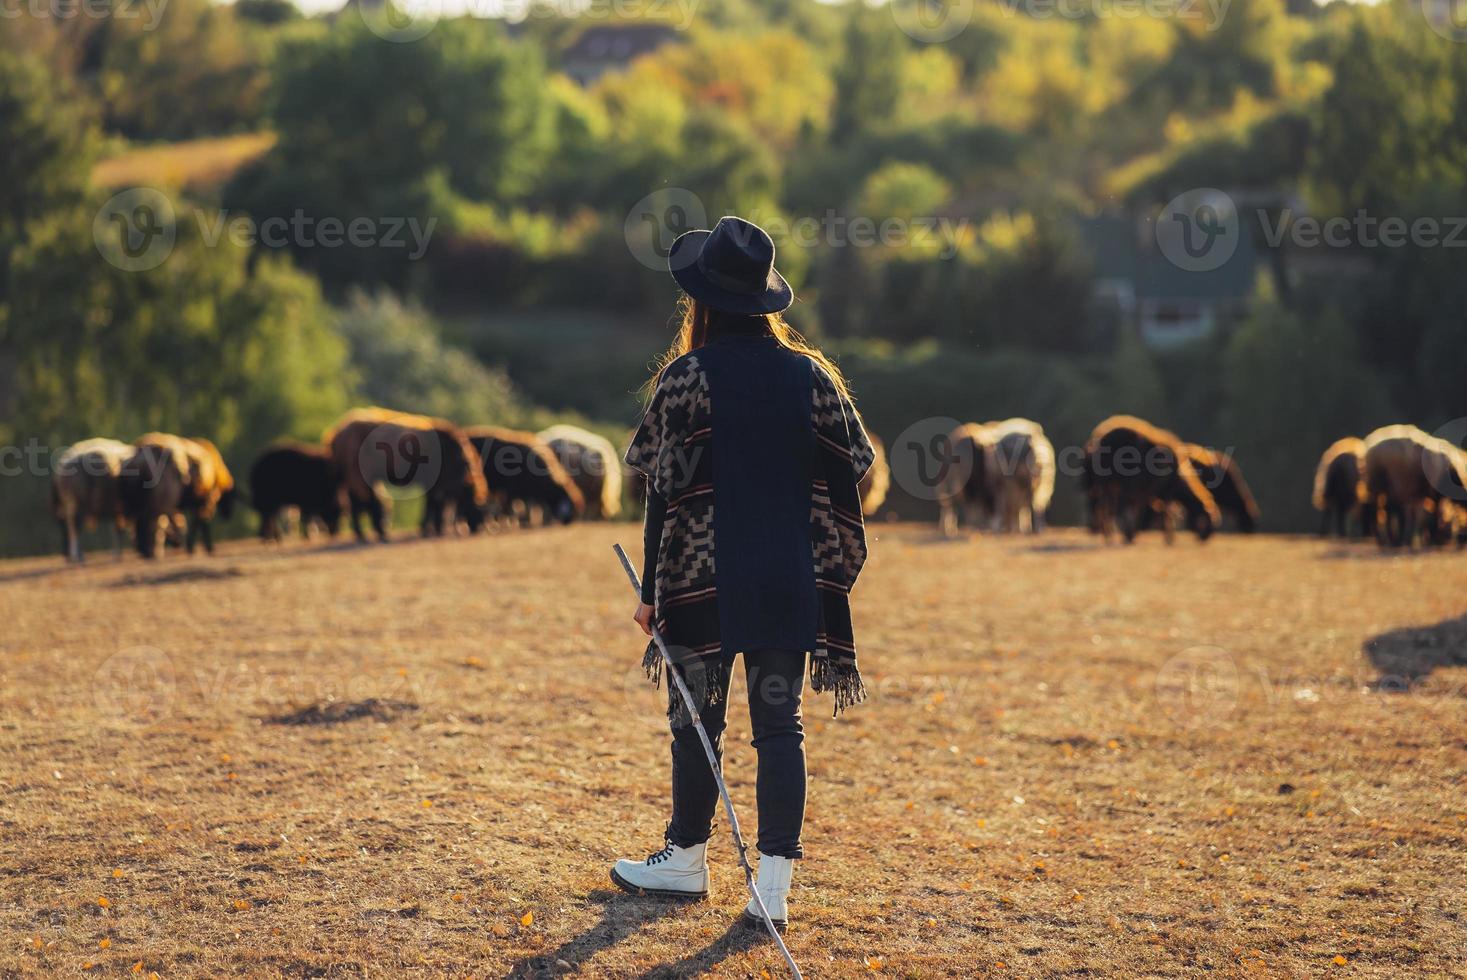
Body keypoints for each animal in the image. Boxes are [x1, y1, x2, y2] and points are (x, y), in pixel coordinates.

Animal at [325, 407, 487, 542]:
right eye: (477, 506)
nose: (475, 529)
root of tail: (337, 432)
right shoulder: (434, 484)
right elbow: (433, 506)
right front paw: (428, 529)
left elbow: (438, 507)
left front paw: (435, 528)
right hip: (356, 478)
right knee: (358, 503)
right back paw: (364, 535)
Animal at [1085, 416, 1220, 542]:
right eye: (1208, 520)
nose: (1205, 539)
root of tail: (1100, 440)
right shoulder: (1159, 492)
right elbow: (1165, 513)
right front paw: (1167, 538)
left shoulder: (1148, 494)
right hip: (1115, 483)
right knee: (1109, 509)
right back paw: (1112, 535)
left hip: (1109, 485)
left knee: (1105, 508)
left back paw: (1109, 535)